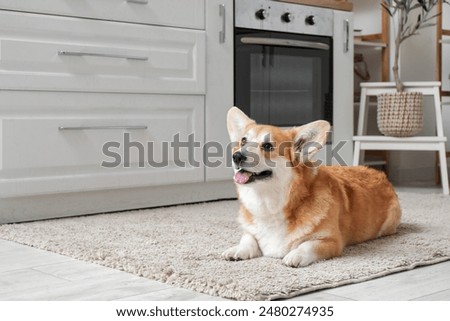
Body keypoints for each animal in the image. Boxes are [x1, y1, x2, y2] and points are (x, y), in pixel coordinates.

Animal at [221, 106, 400, 266]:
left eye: (267, 146)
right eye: (243, 141)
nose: (236, 156)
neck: (270, 203)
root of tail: (380, 174)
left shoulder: (331, 241)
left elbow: (307, 245)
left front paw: (295, 256)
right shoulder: (250, 230)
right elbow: (248, 238)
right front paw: (238, 250)